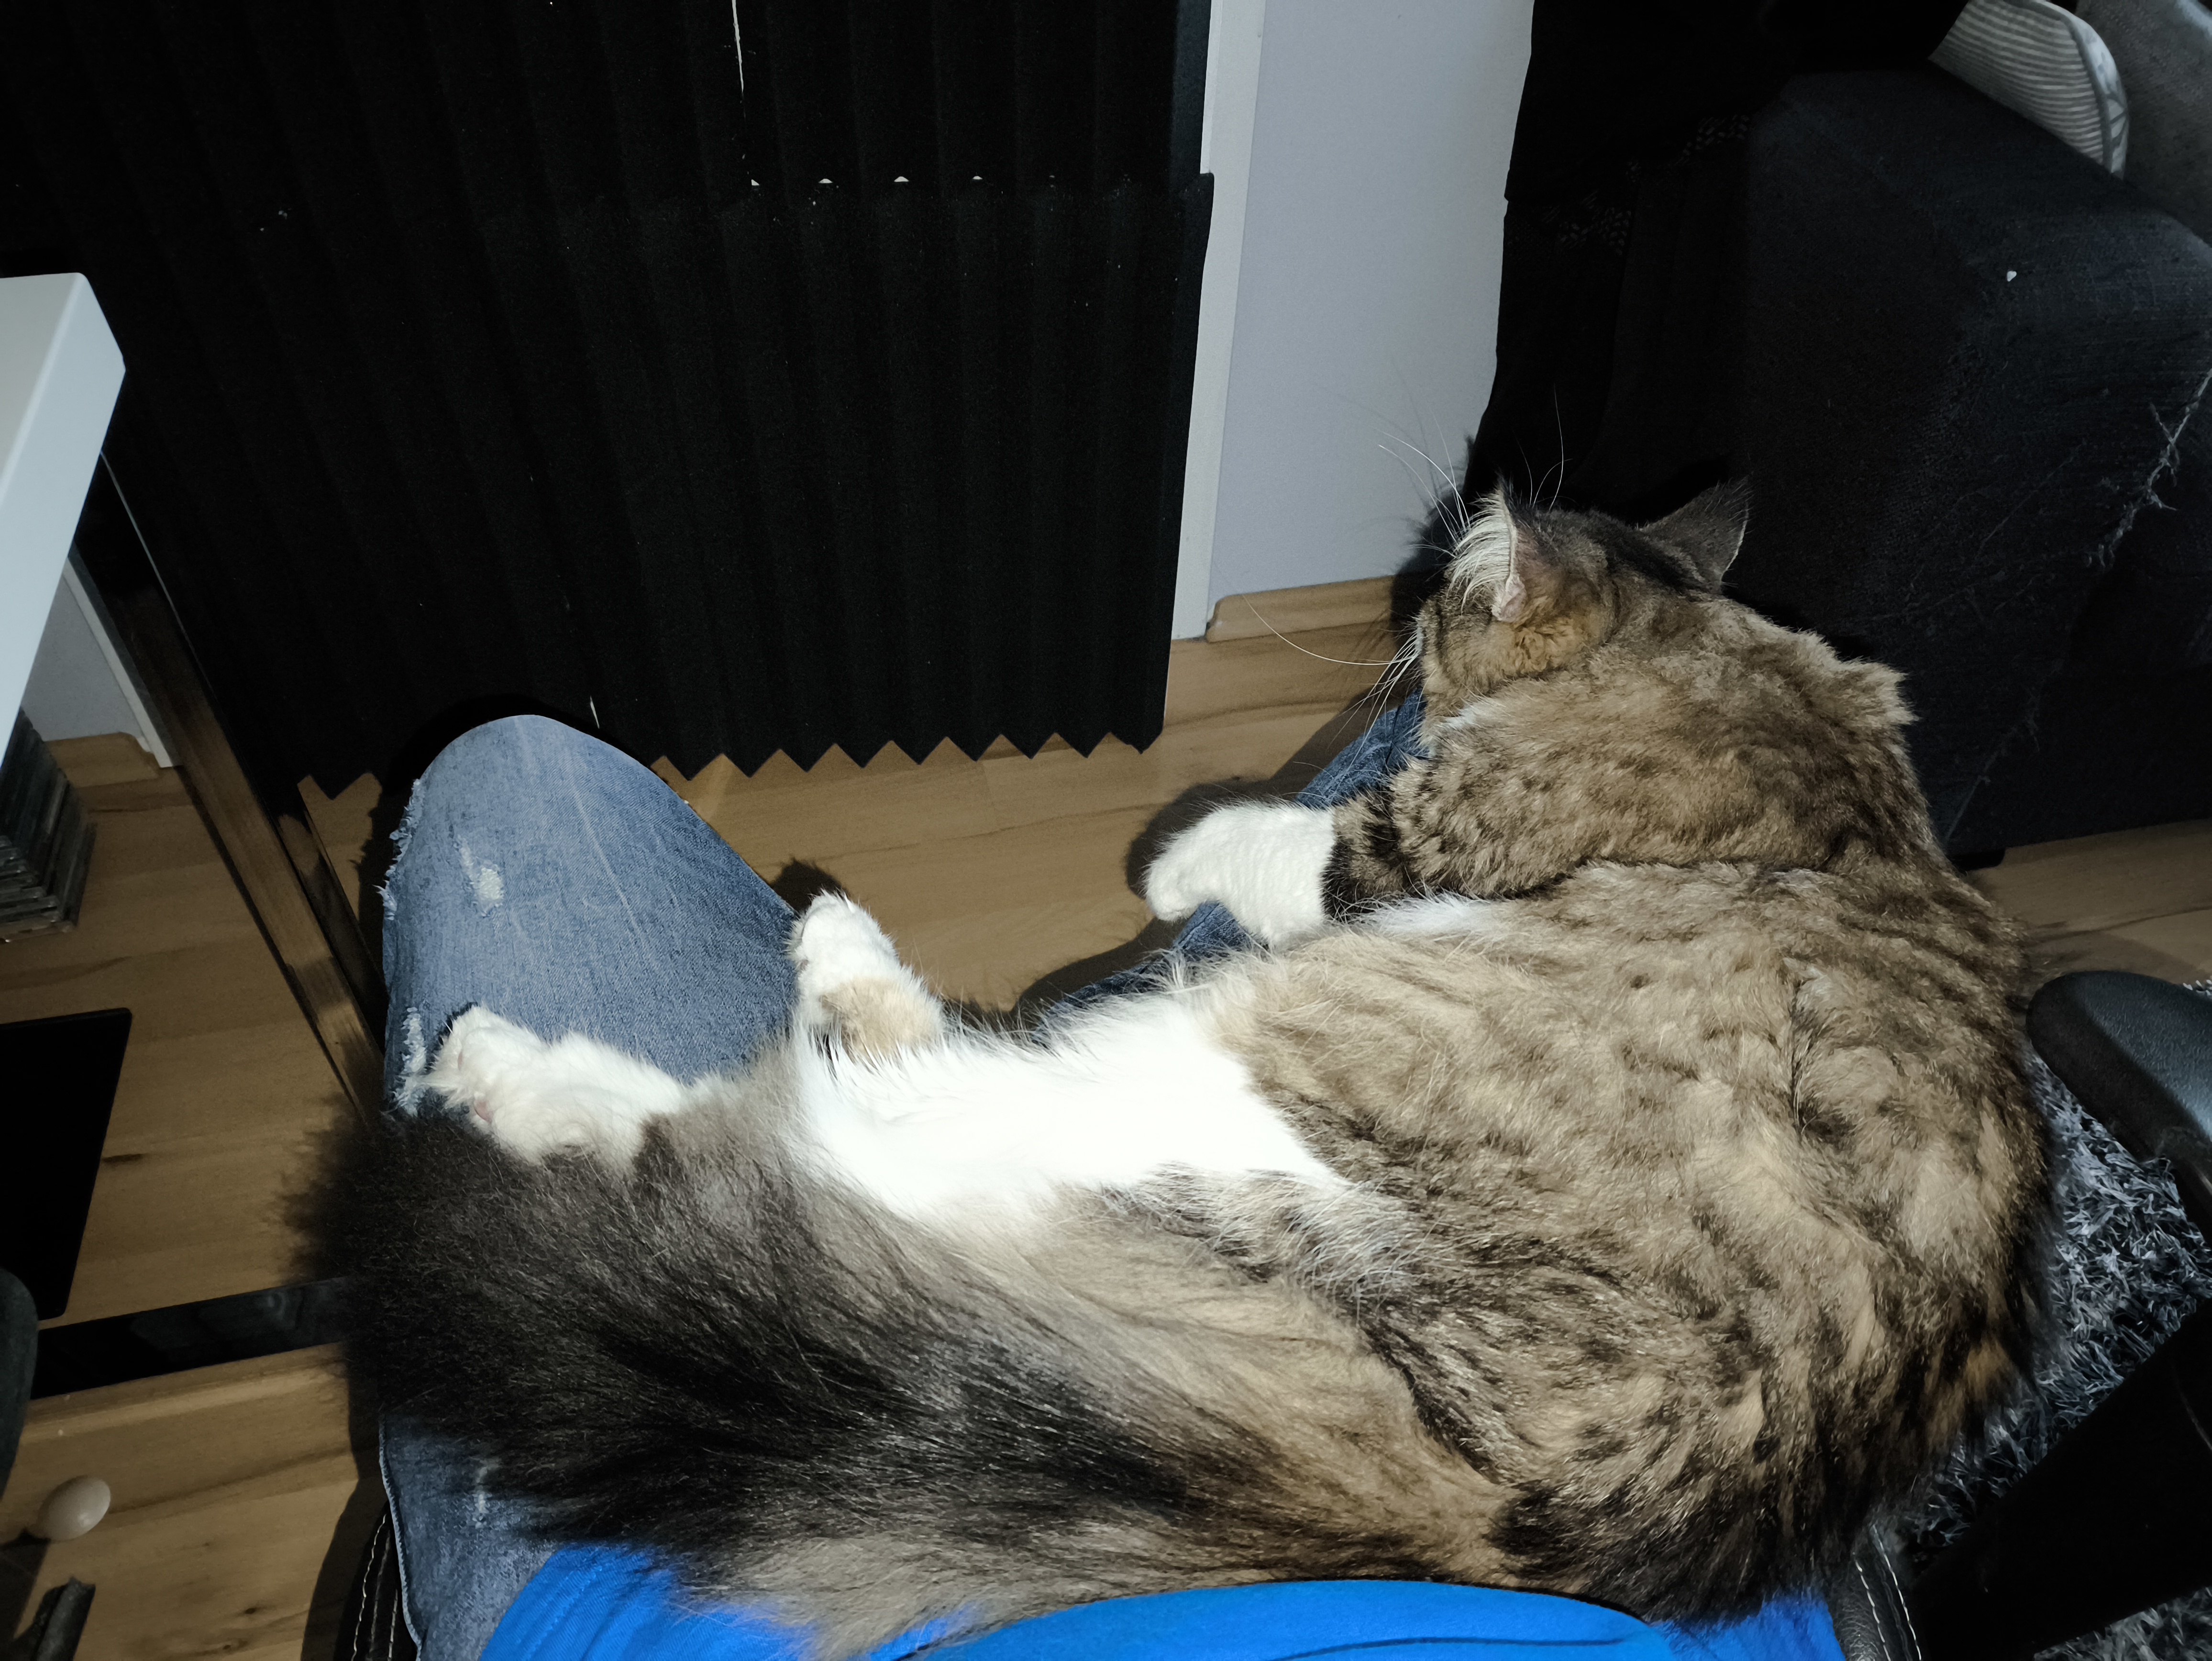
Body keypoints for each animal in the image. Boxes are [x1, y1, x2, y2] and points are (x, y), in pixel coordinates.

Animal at [323, 484, 2049, 1660]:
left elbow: (1275, 840)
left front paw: (1172, 859)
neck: (1730, 666)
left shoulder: (1418, 845)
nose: (1402, 624)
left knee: (850, 1116)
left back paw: (566, 1048)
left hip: (1247, 1061)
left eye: (1442, 604)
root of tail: (1498, 1511)